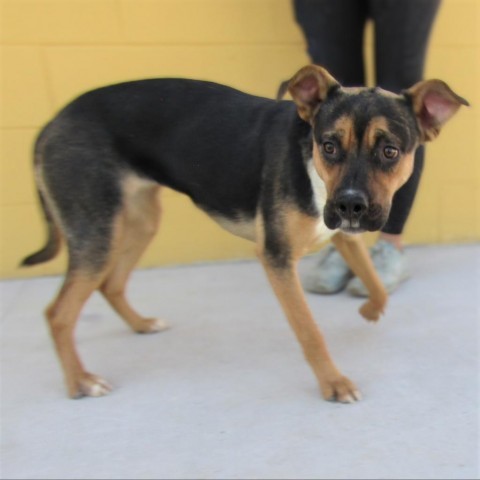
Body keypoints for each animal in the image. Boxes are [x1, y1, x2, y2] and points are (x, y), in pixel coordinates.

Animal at [22, 63, 468, 402]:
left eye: (390, 151)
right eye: (329, 146)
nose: (350, 205)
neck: (310, 165)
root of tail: (51, 123)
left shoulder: (345, 233)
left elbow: (375, 282)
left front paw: (370, 310)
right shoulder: (276, 257)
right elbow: (310, 331)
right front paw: (333, 383)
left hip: (139, 221)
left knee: (110, 283)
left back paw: (142, 324)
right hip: (97, 230)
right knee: (58, 313)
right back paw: (80, 382)